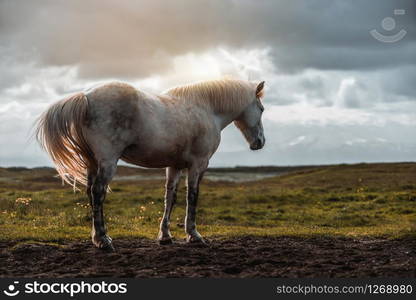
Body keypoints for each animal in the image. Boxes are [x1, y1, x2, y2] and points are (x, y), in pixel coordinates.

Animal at [35, 78, 264, 250]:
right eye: (261, 109)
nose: (260, 142)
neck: (207, 109)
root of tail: (86, 96)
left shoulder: (175, 166)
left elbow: (170, 198)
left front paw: (165, 236)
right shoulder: (198, 165)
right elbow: (192, 197)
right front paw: (194, 235)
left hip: (92, 163)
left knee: (91, 192)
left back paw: (96, 237)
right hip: (107, 161)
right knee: (98, 192)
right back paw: (103, 240)